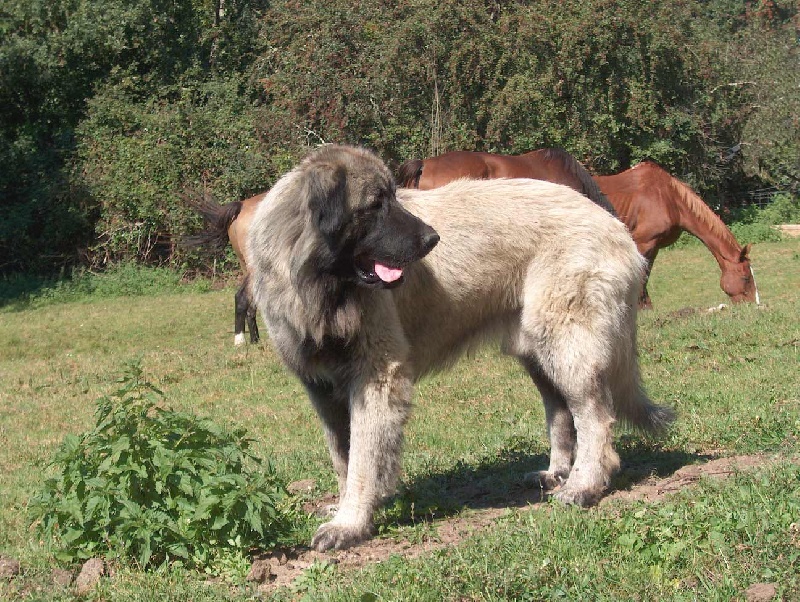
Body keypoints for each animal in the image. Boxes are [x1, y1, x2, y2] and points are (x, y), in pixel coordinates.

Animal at [396, 150, 760, 310]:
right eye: (745, 277)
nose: (753, 304)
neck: (665, 193)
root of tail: (426, 163)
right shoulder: (646, 241)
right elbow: (644, 273)